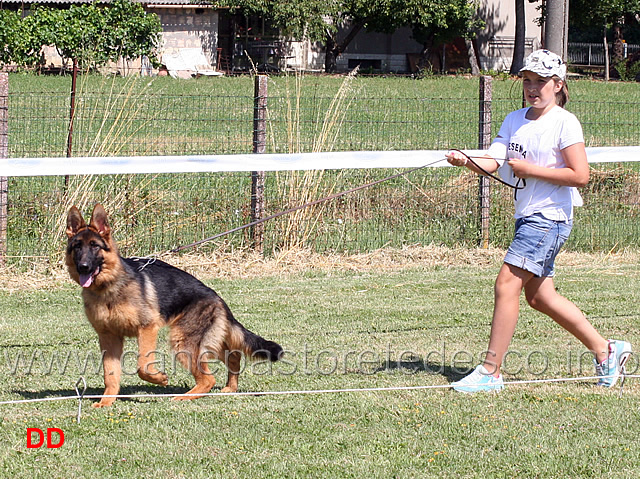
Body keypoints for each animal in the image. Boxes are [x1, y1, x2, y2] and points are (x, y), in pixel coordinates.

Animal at [65, 204, 282, 406]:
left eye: (95, 246)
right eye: (77, 247)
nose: (83, 267)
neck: (109, 287)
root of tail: (217, 298)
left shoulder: (147, 328)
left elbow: (142, 365)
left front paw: (159, 379)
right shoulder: (108, 338)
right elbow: (110, 374)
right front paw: (106, 402)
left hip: (183, 342)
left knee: (209, 378)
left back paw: (184, 397)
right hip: (203, 341)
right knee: (234, 356)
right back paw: (229, 388)